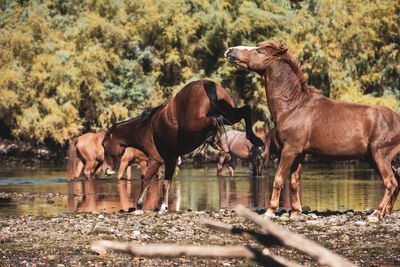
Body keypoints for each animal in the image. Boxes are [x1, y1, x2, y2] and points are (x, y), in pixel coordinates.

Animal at [102, 79, 266, 214]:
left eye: (103, 145)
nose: (106, 170)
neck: (145, 128)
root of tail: (207, 84)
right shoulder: (171, 159)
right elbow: (166, 184)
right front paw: (163, 207)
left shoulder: (156, 160)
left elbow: (145, 181)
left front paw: (139, 205)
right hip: (229, 114)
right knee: (244, 110)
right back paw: (254, 139)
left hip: (197, 122)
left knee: (214, 119)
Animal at [225, 41, 400, 222]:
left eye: (259, 51)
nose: (230, 51)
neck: (293, 105)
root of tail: (397, 118)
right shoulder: (300, 153)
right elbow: (294, 182)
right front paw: (295, 212)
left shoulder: (290, 150)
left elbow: (279, 179)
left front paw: (270, 211)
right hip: (373, 158)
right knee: (396, 181)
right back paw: (386, 212)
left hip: (380, 155)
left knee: (390, 182)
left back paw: (376, 214)